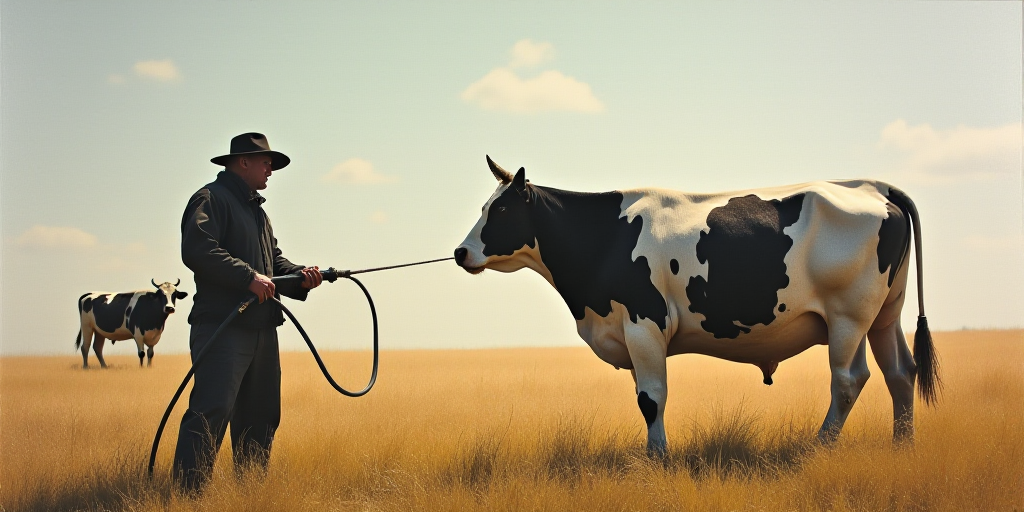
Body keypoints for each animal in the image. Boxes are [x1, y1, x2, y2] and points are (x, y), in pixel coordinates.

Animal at [455, 156, 939, 454]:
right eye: (483, 207)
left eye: (500, 212)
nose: (461, 252)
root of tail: (874, 186)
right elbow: (645, 396)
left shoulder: (644, 323)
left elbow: (651, 398)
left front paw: (657, 458)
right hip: (884, 315)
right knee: (901, 371)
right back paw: (903, 446)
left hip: (848, 316)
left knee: (849, 379)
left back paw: (819, 446)